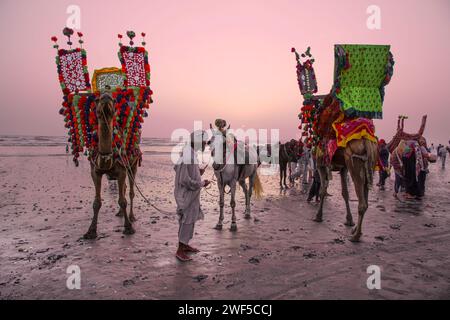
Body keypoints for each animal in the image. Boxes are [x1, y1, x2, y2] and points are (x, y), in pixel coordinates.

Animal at [82, 92, 139, 240]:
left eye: (113, 100)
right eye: (97, 99)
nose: (106, 97)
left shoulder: (122, 170)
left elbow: (123, 200)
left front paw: (128, 227)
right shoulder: (95, 171)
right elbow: (96, 202)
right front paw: (91, 231)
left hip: (133, 166)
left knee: (130, 191)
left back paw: (132, 216)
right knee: (124, 189)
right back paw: (120, 213)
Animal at [312, 95, 380, 242]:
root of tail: (366, 140)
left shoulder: (320, 165)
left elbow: (322, 190)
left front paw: (318, 216)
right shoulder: (343, 168)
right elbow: (345, 193)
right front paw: (349, 220)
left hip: (354, 163)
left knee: (362, 203)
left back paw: (355, 236)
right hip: (368, 164)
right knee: (365, 199)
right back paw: (356, 230)